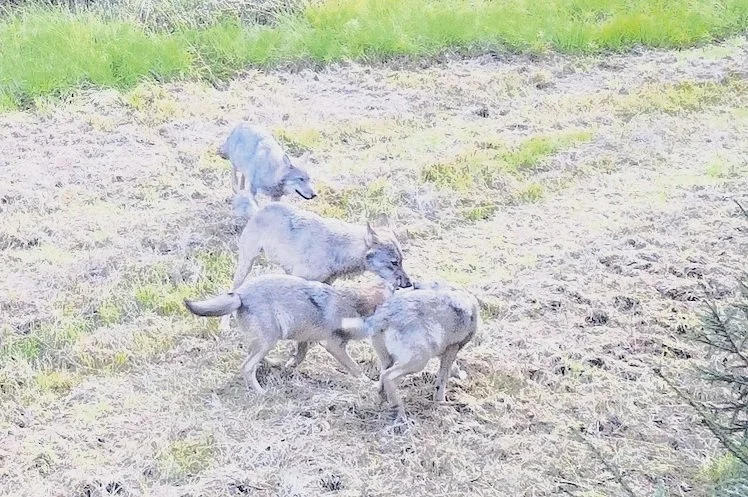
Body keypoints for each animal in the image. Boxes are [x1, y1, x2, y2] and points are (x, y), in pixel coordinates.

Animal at [184, 274, 392, 393]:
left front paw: (290, 365)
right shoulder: (333, 345)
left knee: (252, 355)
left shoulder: (305, 338)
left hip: (267, 340)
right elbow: (355, 368)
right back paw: (262, 393)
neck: (357, 306)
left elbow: (300, 354)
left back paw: (274, 364)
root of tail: (239, 293)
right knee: (246, 366)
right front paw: (369, 383)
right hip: (269, 339)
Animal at [341, 280, 479, 420]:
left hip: (388, 359)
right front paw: (442, 403)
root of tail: (383, 317)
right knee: (388, 377)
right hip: (419, 360)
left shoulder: (445, 351)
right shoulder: (452, 348)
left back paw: (382, 405)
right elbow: (442, 379)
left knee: (382, 382)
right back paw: (401, 413)